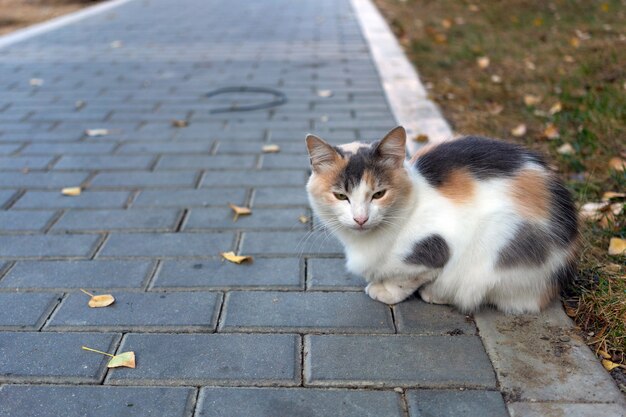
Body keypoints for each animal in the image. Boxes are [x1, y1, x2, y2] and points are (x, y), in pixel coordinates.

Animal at [304, 125, 576, 310]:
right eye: (341, 196)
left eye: (379, 194)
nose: (360, 219)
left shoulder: (435, 248)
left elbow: (407, 277)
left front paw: (386, 290)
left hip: (498, 243)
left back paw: (436, 294)